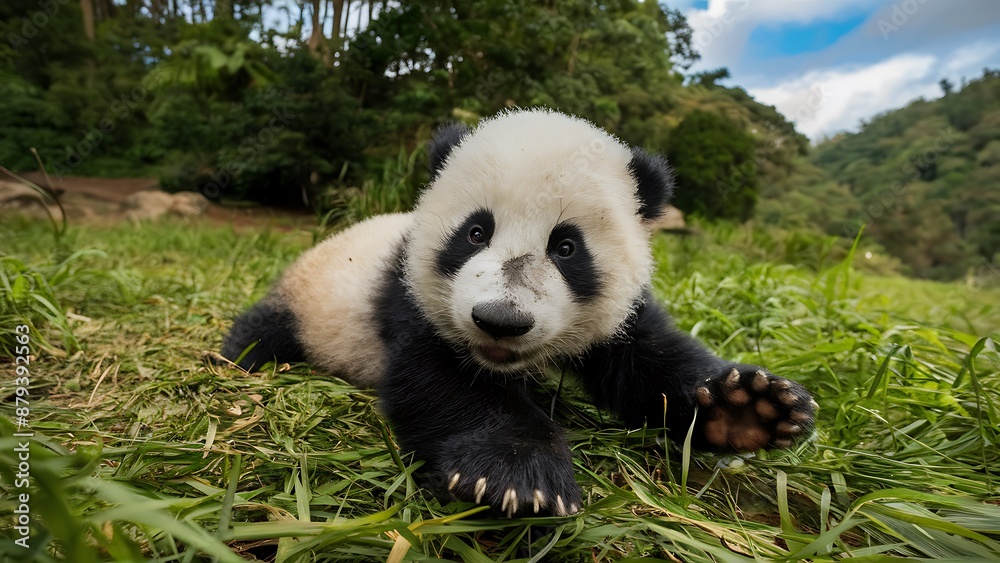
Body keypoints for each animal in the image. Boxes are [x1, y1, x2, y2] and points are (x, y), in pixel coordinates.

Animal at [221, 108, 816, 517]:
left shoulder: (618, 317)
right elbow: (441, 379)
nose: (500, 321)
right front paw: (518, 477)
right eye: (475, 232)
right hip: (310, 302)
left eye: (567, 247)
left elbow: (648, 364)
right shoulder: (412, 298)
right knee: (261, 332)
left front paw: (749, 409)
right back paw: (238, 360)